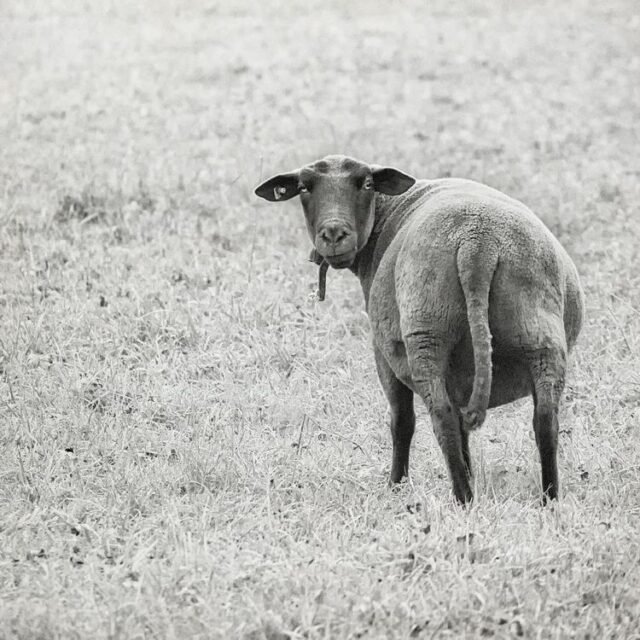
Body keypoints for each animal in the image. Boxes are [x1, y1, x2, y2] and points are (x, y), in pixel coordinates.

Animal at [255, 155, 584, 504]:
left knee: (441, 417)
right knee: (545, 418)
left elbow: (402, 421)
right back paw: (549, 498)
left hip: (426, 332)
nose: (333, 233)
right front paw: (469, 472)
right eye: (304, 188)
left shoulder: (383, 353)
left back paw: (463, 498)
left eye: (366, 184)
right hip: (539, 330)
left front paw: (396, 485)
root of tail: (477, 245)